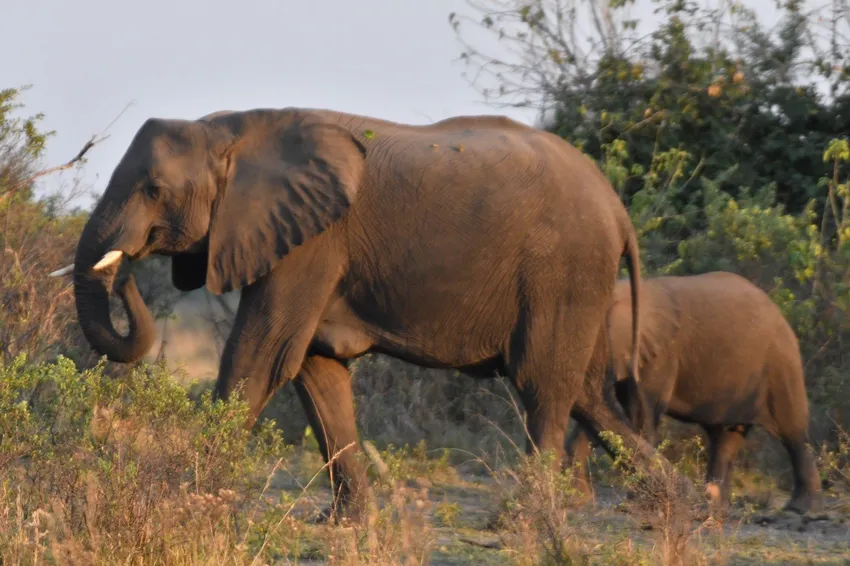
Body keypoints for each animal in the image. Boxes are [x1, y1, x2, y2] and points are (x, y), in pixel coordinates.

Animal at [50, 106, 672, 521]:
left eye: (154, 190)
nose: (126, 270)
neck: (228, 128)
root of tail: (618, 208)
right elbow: (315, 371)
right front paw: (345, 525)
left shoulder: (312, 242)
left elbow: (262, 357)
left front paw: (187, 496)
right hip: (579, 279)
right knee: (587, 394)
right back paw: (677, 506)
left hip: (563, 268)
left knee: (543, 386)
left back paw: (524, 520)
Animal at [564, 271, 822, 514]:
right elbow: (602, 414)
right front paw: (579, 502)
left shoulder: (660, 354)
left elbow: (638, 416)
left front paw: (634, 503)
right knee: (724, 438)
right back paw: (714, 504)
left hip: (780, 364)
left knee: (793, 434)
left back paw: (799, 508)